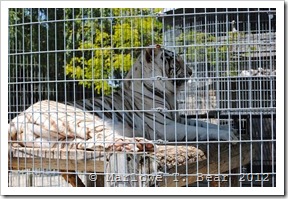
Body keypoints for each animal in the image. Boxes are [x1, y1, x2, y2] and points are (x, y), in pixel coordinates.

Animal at [8, 44, 238, 152]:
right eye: (174, 61)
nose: (191, 72)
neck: (169, 95)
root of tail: (17, 120)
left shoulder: (177, 118)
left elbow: (204, 123)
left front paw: (230, 129)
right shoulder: (164, 126)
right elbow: (199, 130)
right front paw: (230, 135)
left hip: (60, 142)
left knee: (91, 143)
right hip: (81, 119)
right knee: (103, 136)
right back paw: (140, 143)